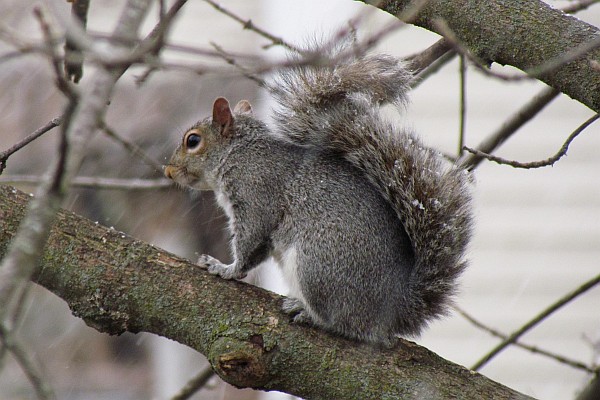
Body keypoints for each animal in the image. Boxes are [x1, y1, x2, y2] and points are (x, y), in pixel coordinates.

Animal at [164, 47, 474, 346]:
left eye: (193, 141)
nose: (168, 170)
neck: (239, 152)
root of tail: (392, 308)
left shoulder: (256, 195)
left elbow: (250, 245)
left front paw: (224, 268)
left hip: (317, 265)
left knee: (346, 324)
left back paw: (309, 314)